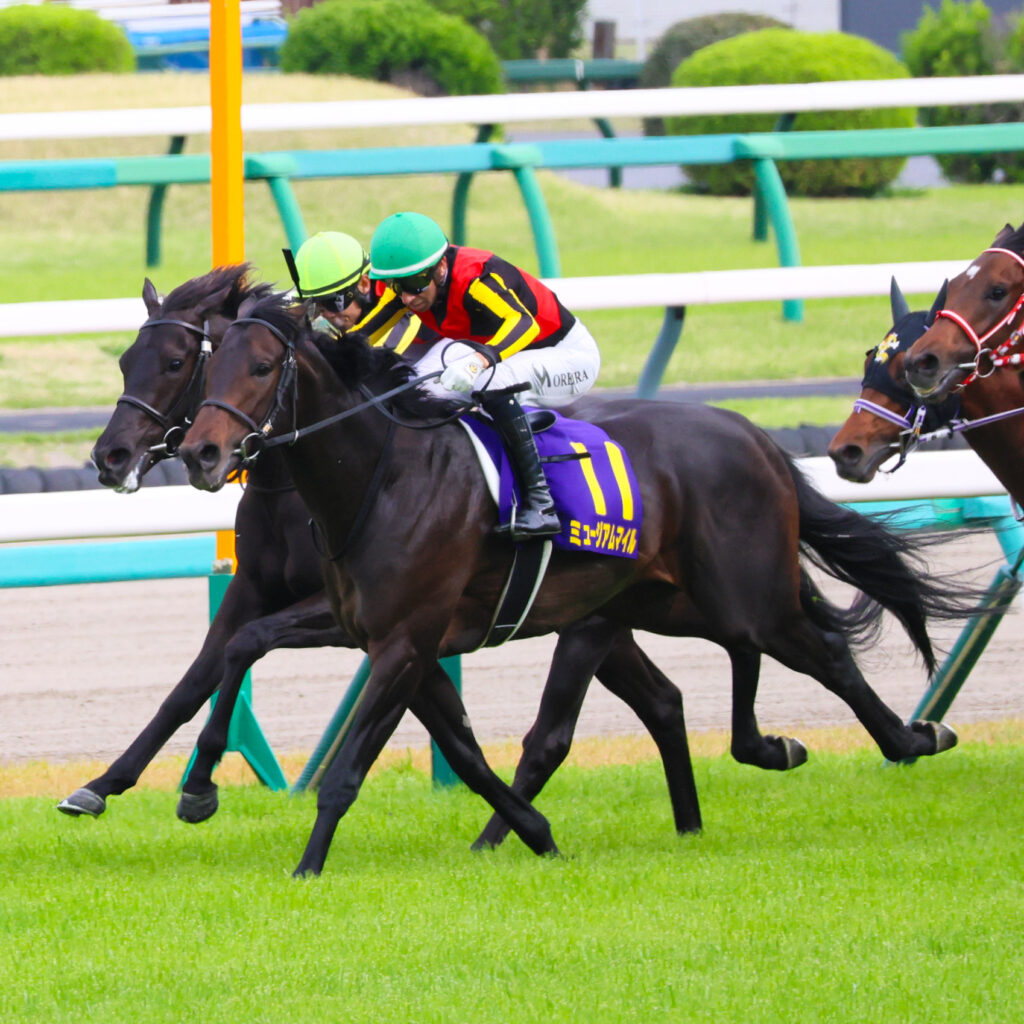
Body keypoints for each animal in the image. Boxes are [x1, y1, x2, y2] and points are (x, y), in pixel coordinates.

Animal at [67, 265, 712, 844]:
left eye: (176, 362)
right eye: (126, 360)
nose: (110, 457)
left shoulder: (355, 614)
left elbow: (247, 648)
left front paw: (198, 786)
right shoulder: (258, 588)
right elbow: (197, 676)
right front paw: (102, 785)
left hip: (587, 619)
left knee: (560, 733)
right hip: (594, 615)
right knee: (663, 700)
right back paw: (685, 825)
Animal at [178, 290, 975, 877]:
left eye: (260, 368)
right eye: (208, 372)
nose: (201, 453)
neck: (384, 474)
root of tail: (757, 437)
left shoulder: (405, 640)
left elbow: (351, 768)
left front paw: (306, 865)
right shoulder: (377, 635)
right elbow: (453, 746)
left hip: (746, 596)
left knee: (823, 653)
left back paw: (913, 737)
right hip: (666, 600)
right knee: (697, 680)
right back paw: (745, 770)